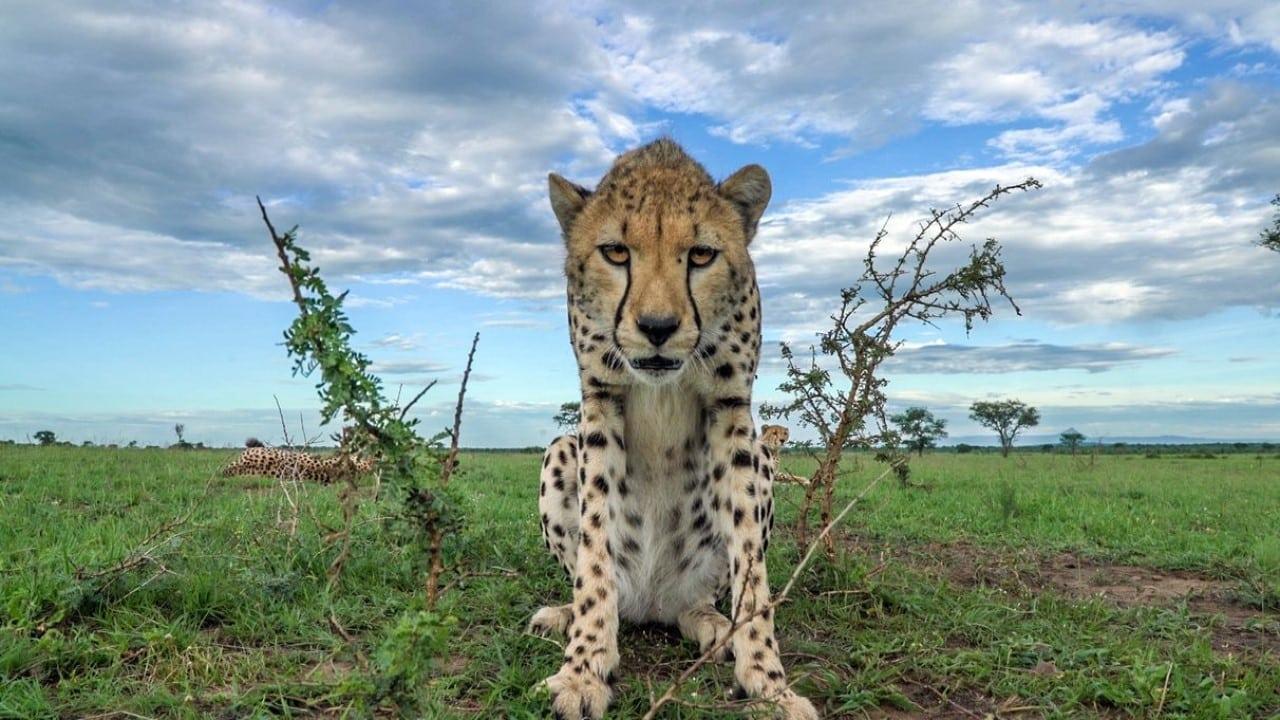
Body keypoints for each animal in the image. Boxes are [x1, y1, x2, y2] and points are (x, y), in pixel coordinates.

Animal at [532, 140, 819, 717]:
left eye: (702, 255)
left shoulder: (732, 409)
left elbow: (751, 568)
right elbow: (594, 550)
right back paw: (568, 615)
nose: (658, 327)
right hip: (559, 448)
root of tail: (650, 605)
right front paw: (583, 668)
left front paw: (769, 683)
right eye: (616, 252)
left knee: (701, 599)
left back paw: (708, 621)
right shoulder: (601, 400)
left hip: (758, 470)